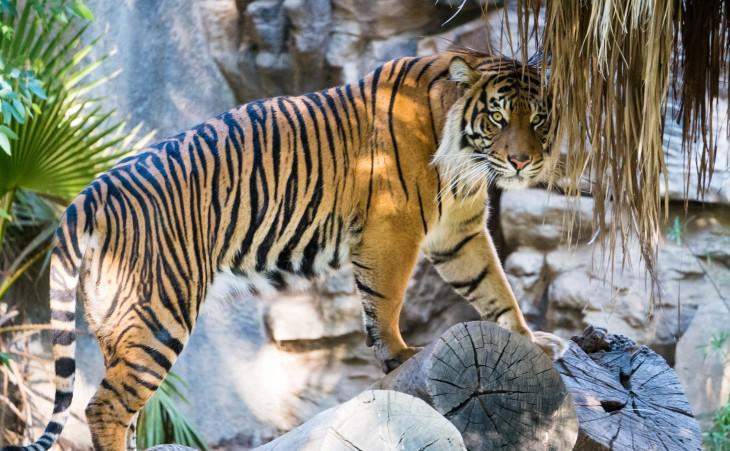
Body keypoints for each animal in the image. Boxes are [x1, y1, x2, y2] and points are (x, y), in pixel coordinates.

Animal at [3, 50, 566, 451]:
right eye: (497, 117)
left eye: (538, 119)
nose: (523, 162)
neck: (464, 162)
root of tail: (89, 193)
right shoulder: (392, 227)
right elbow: (385, 300)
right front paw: (399, 354)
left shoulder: (460, 235)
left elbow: (495, 287)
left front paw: (532, 340)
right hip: (158, 311)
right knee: (105, 408)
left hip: (115, 321)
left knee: (125, 406)